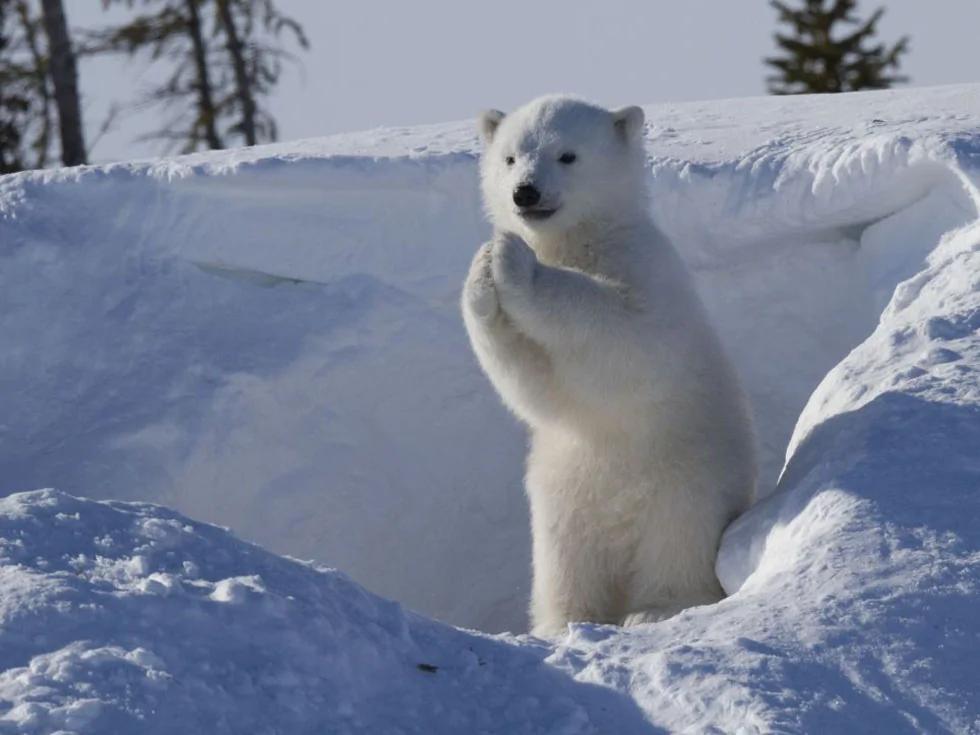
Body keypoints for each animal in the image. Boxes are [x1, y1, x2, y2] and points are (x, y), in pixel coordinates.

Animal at [461, 95, 757, 638]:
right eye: (511, 157)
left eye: (568, 155)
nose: (525, 193)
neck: (581, 239)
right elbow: (534, 385)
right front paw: (483, 272)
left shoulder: (645, 267)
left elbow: (625, 334)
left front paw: (515, 263)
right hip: (564, 498)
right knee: (566, 564)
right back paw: (565, 622)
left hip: (686, 482)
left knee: (676, 545)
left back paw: (654, 608)